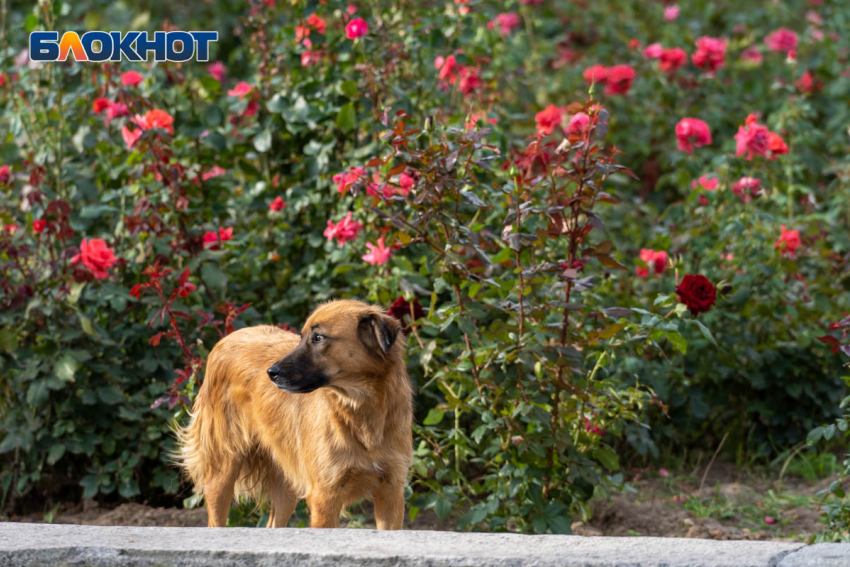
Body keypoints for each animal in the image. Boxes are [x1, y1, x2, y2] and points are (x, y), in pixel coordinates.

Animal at [179, 300, 414, 532]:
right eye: (301, 338)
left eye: (318, 338)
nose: (271, 373)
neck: (362, 409)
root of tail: (228, 338)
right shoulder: (325, 497)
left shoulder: (391, 492)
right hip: (223, 471)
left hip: (286, 487)